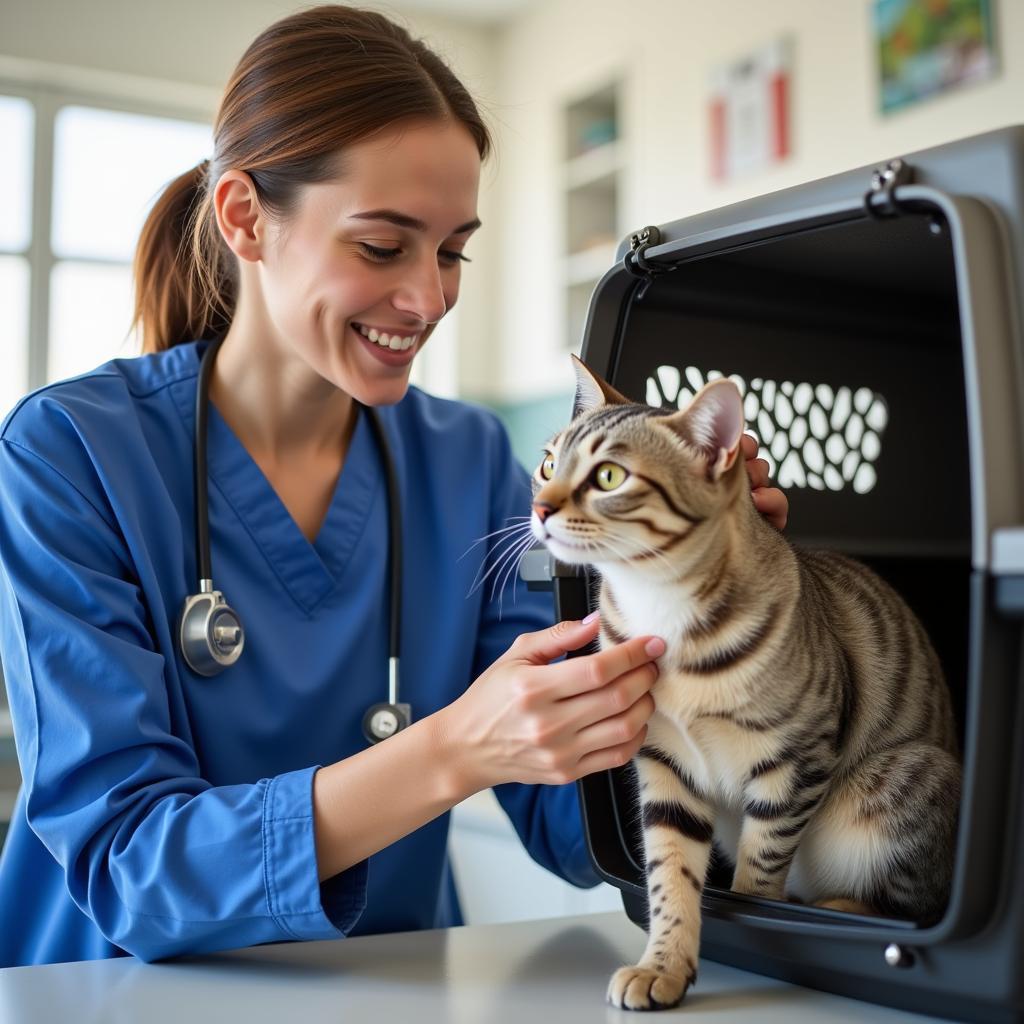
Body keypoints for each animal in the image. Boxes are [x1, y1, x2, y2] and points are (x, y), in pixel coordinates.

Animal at [532, 356, 962, 1011]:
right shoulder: (665, 765)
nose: (539, 508)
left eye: (608, 476)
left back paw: (835, 906)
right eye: (550, 464)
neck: (660, 606)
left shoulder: (796, 761)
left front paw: (753, 910)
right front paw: (663, 964)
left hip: (905, 782)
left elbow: (760, 868)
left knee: (905, 906)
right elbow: (671, 876)